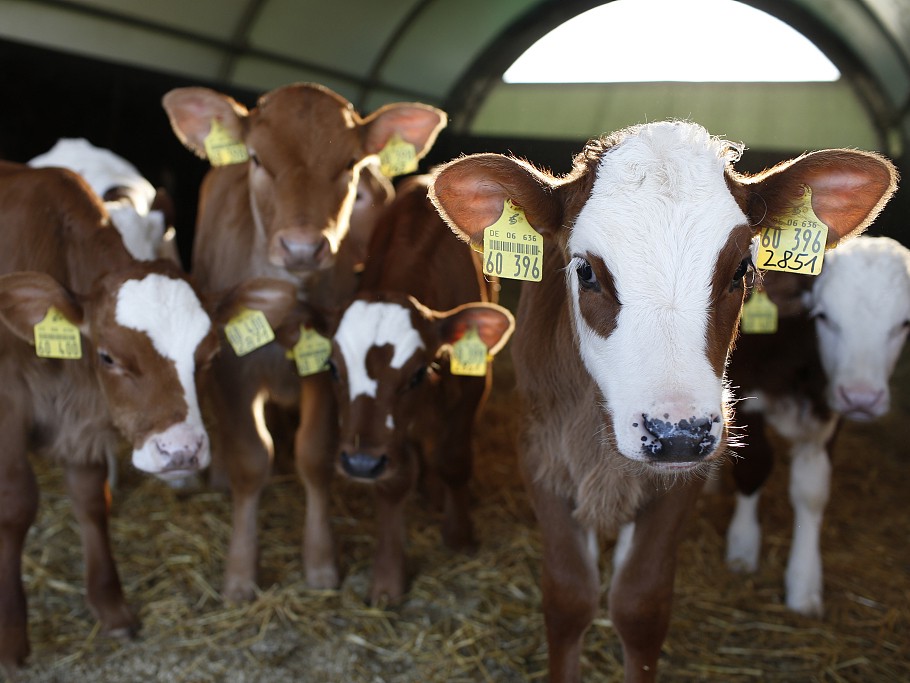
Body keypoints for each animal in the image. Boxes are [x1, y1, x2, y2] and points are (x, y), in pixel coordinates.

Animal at [0, 161, 298, 674]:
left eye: (210, 355)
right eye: (108, 356)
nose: (180, 451)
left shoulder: (82, 422)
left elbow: (91, 498)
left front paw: (111, 607)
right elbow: (16, 506)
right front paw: (10, 638)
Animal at [161, 82, 447, 601]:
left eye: (350, 163)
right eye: (256, 158)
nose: (301, 246)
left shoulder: (326, 372)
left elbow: (313, 456)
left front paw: (320, 563)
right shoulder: (233, 371)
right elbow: (251, 459)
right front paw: (240, 573)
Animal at [303, 176, 515, 604]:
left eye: (417, 374)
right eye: (332, 368)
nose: (360, 464)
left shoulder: (474, 382)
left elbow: (454, 460)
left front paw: (460, 535)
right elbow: (394, 481)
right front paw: (389, 578)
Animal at [726, 235, 910, 616]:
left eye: (904, 323)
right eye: (823, 317)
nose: (861, 397)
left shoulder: (828, 409)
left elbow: (811, 491)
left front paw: (804, 582)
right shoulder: (743, 389)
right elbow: (754, 465)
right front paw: (743, 546)